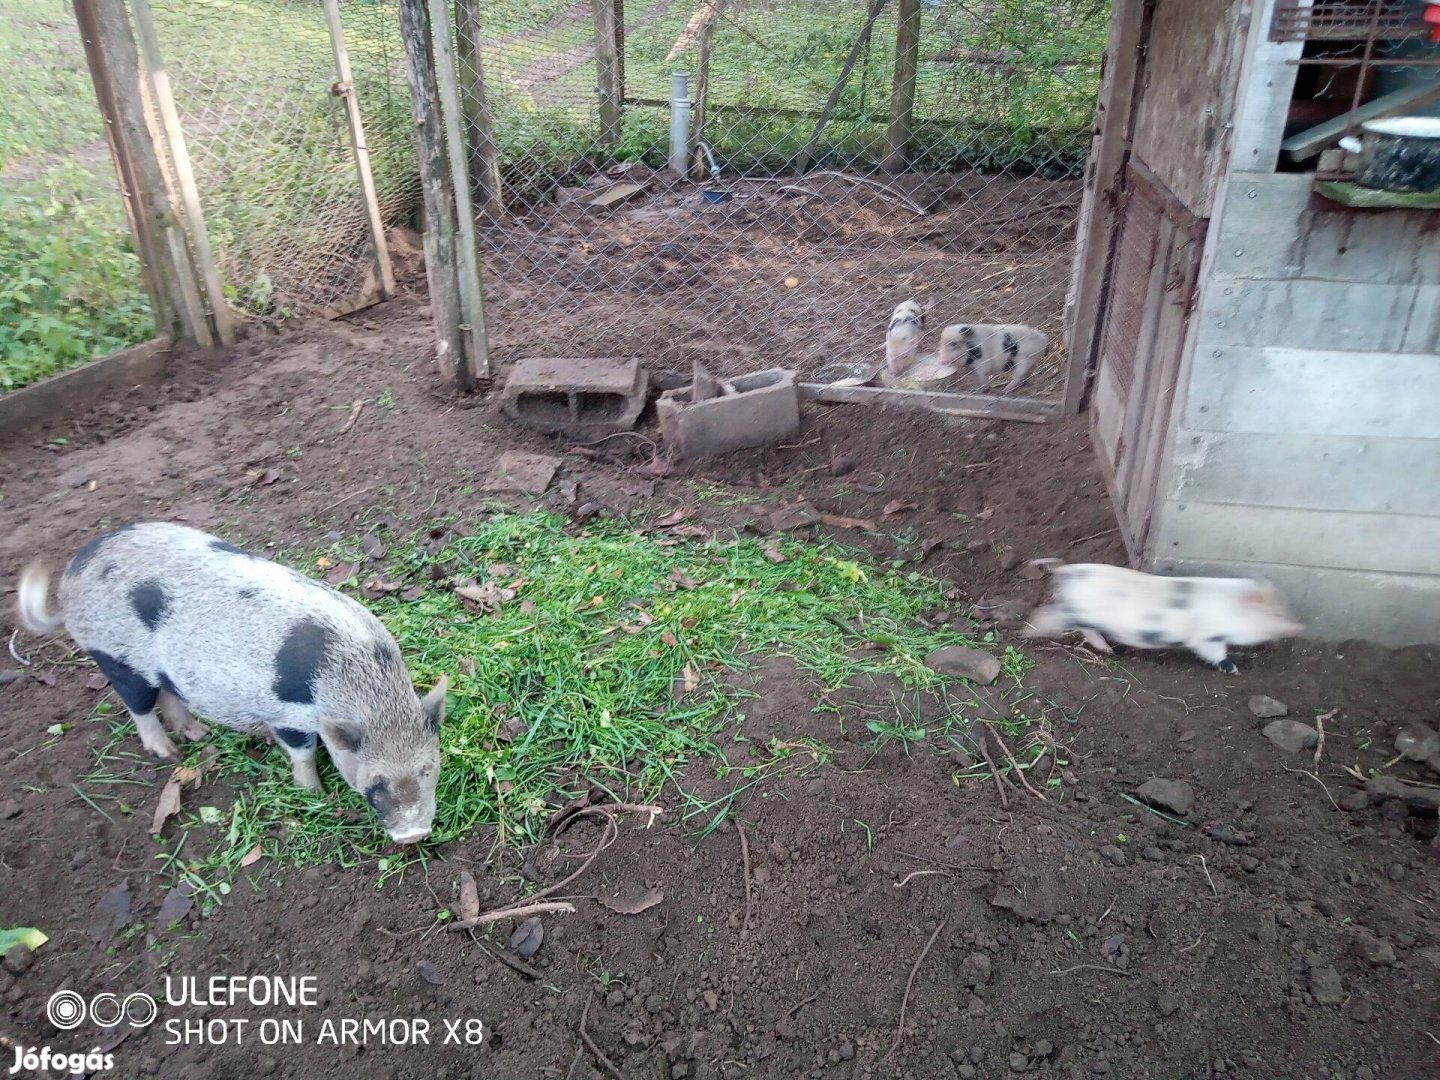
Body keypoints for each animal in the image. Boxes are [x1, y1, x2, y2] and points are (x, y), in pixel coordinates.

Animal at [16, 524, 443, 846]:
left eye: (428, 768)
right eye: (375, 780)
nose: (415, 834)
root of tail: (73, 571)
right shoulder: (286, 714)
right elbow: (301, 753)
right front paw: (312, 793)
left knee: (170, 692)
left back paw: (197, 735)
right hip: (114, 657)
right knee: (138, 706)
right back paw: (168, 753)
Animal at [1025, 561, 1307, 673]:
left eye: (1286, 606)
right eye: (1273, 613)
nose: (1300, 627)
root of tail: (1067, 570)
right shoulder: (1206, 637)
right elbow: (1214, 653)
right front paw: (1234, 670)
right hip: (1078, 611)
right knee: (1056, 618)